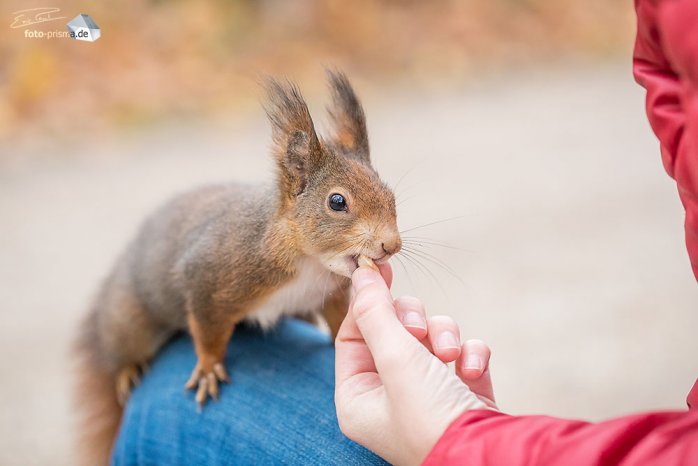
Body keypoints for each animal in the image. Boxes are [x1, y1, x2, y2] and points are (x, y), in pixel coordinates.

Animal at [73, 71, 400, 464]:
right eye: (337, 202)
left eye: (390, 194)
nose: (392, 245)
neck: (311, 263)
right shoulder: (209, 274)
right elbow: (208, 327)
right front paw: (209, 368)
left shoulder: (331, 293)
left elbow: (337, 319)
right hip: (129, 320)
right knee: (120, 349)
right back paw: (126, 370)